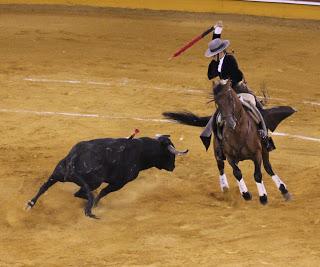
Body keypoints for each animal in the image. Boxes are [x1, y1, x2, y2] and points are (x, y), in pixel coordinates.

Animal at [27, 135, 189, 219]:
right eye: (171, 155)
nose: (173, 167)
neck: (142, 150)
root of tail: (74, 156)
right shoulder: (119, 183)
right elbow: (104, 193)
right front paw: (96, 204)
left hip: (58, 173)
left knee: (44, 186)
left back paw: (30, 203)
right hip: (94, 181)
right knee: (82, 193)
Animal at [164, 81, 296, 205]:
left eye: (231, 99)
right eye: (217, 102)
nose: (230, 122)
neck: (239, 133)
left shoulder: (257, 154)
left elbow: (257, 174)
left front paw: (263, 197)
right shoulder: (230, 156)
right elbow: (237, 173)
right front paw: (246, 194)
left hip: (264, 150)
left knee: (268, 167)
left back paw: (284, 190)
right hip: (217, 150)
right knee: (221, 166)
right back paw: (225, 188)